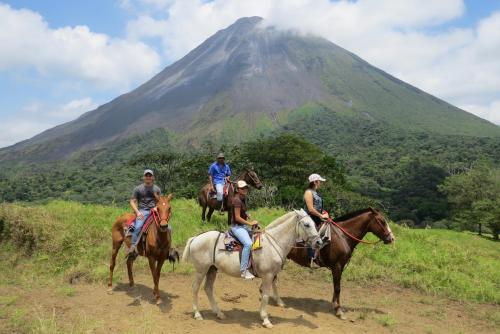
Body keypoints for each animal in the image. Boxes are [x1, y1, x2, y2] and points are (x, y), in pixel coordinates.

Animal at [182, 210, 322, 328]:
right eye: (307, 224)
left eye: (314, 224)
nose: (319, 242)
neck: (273, 243)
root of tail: (195, 238)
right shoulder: (268, 275)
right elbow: (265, 295)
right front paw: (265, 320)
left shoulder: (271, 276)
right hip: (201, 270)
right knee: (195, 288)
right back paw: (197, 314)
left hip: (212, 269)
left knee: (208, 288)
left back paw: (219, 313)